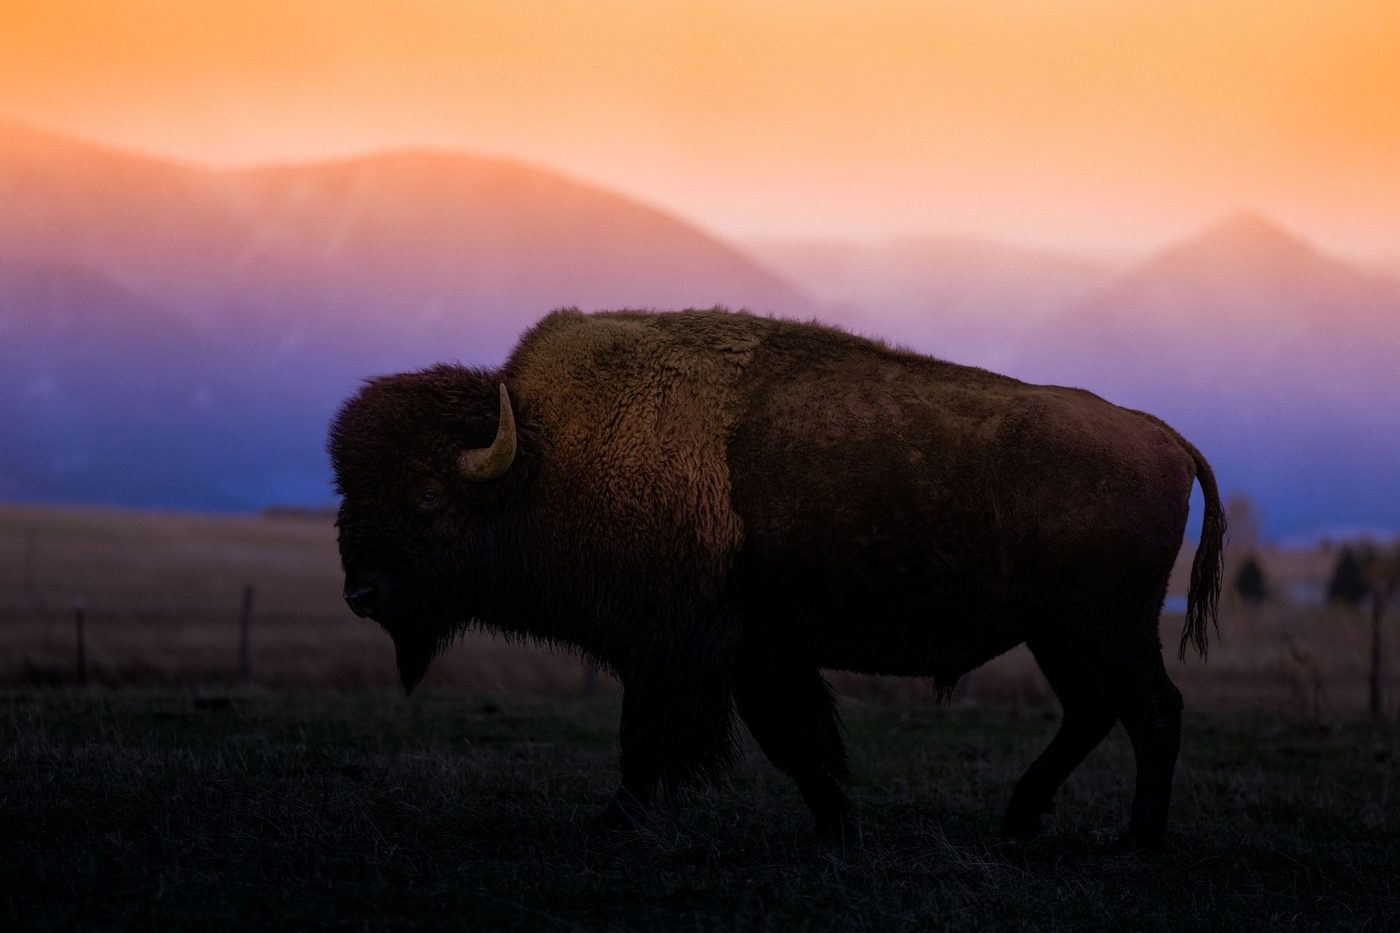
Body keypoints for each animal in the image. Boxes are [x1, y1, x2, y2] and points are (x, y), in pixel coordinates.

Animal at [329, 308, 1225, 848]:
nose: (360, 594)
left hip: (1103, 629)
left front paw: (612, 822)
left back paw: (1135, 839)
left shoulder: (676, 648)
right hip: (1065, 636)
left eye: (426, 496)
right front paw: (836, 826)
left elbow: (649, 739)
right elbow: (799, 743)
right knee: (1097, 711)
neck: (549, 455)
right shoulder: (759, 653)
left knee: (1152, 711)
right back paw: (1020, 817)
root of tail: (1163, 434)